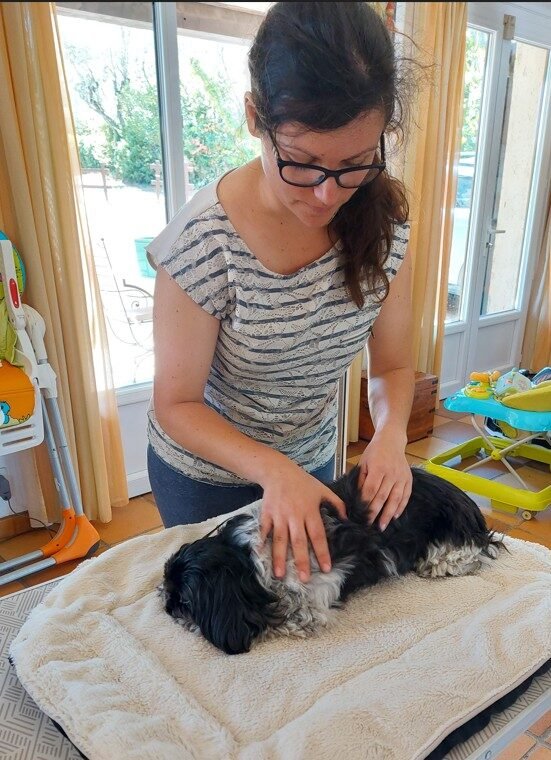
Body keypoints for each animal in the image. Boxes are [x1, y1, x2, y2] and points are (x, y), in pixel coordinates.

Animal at [161, 466, 504, 656]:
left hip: (450, 543)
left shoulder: (311, 600)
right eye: (167, 586)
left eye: (186, 601)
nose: (167, 606)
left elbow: (287, 617)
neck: (249, 560)